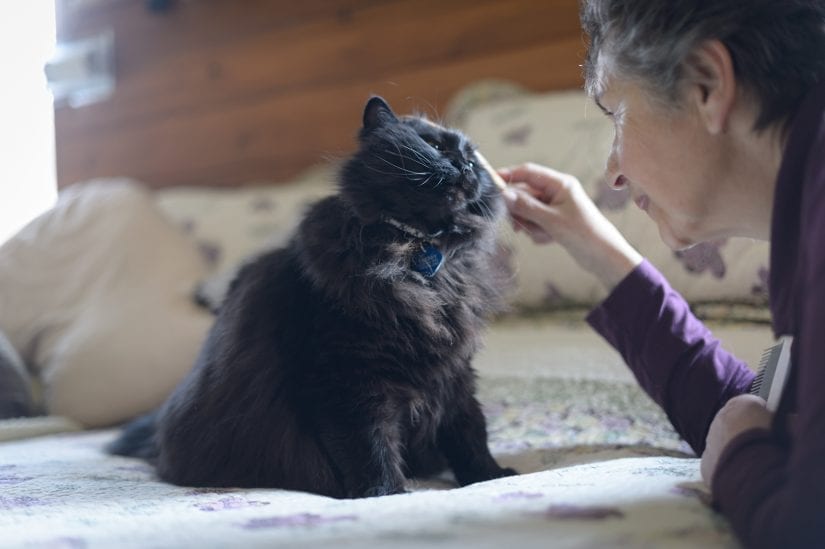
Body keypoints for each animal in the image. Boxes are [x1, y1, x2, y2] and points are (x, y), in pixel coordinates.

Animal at [108, 96, 516, 498]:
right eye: (434, 145)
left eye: (473, 159)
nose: (466, 166)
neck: (418, 251)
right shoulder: (348, 376)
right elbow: (371, 445)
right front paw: (385, 493)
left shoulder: (454, 371)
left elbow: (469, 433)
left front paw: (489, 477)